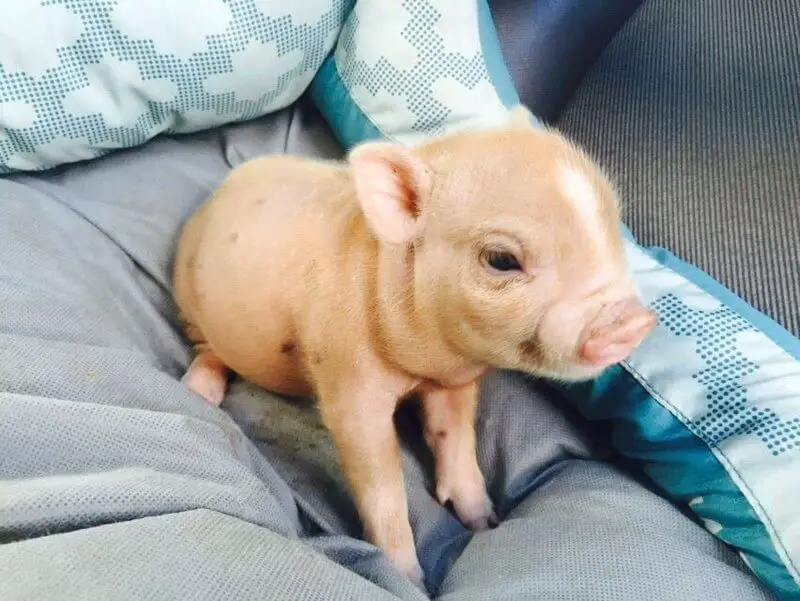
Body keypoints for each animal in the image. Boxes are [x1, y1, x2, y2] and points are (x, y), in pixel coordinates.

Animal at [172, 105, 656, 591]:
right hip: (188, 299)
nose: (635, 322)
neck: (426, 362)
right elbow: (380, 485)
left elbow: (455, 439)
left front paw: (485, 522)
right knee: (207, 350)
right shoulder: (346, 377)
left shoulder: (454, 382)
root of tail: (215, 197)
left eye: (613, 231)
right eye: (501, 260)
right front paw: (408, 580)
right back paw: (198, 391)